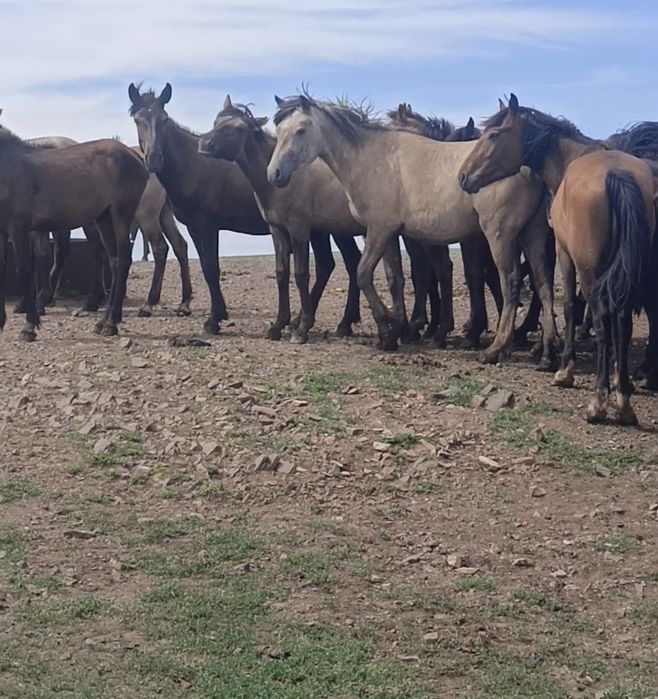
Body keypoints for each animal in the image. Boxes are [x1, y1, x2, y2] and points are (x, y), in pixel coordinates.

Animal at [0, 123, 147, 339]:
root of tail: (134, 155)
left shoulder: (19, 228)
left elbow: (25, 271)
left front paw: (29, 326)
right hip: (103, 218)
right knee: (113, 261)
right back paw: (103, 321)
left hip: (121, 215)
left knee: (122, 261)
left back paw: (111, 322)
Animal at [128, 83, 362, 338]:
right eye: (137, 120)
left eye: (163, 118)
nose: (153, 159)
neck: (192, 164)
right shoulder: (194, 227)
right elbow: (205, 265)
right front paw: (218, 313)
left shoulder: (207, 226)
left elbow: (211, 268)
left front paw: (214, 320)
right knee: (334, 264)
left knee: (345, 263)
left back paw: (339, 322)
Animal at [267, 93, 557, 368]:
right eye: (278, 129)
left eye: (301, 130)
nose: (274, 174)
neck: (371, 159)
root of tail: (529, 164)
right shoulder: (390, 234)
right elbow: (395, 279)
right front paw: (395, 330)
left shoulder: (379, 230)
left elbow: (363, 274)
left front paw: (388, 325)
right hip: (532, 236)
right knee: (543, 283)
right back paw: (545, 353)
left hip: (499, 236)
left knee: (511, 282)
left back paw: (498, 348)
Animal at [459, 94, 657, 425]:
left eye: (494, 134)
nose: (462, 176)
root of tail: (616, 174)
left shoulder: (565, 255)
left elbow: (566, 306)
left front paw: (564, 369)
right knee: (622, 321)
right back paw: (625, 400)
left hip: (591, 271)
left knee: (603, 319)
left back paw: (599, 402)